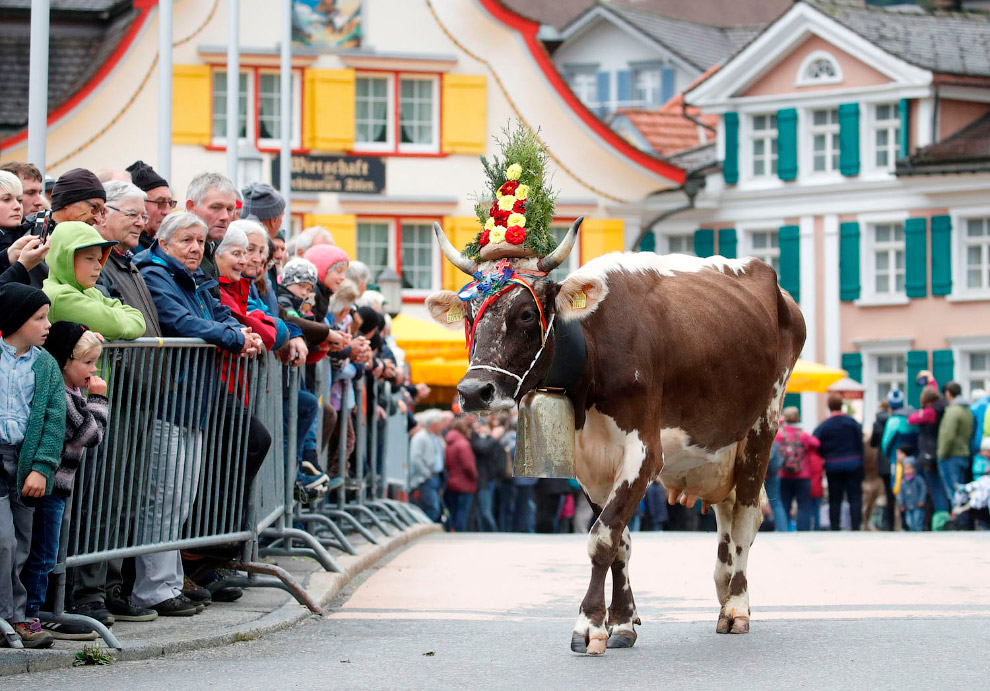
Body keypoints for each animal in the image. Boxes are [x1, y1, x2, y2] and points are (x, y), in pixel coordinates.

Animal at [426, 124, 808, 656]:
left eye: (524, 314)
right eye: (468, 313)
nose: (474, 391)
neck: (592, 360)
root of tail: (769, 279)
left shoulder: (644, 451)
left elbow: (602, 536)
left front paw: (588, 625)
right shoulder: (588, 461)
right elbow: (620, 538)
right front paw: (622, 622)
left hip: (762, 427)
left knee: (746, 520)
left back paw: (736, 608)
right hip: (719, 445)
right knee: (727, 516)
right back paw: (722, 589)